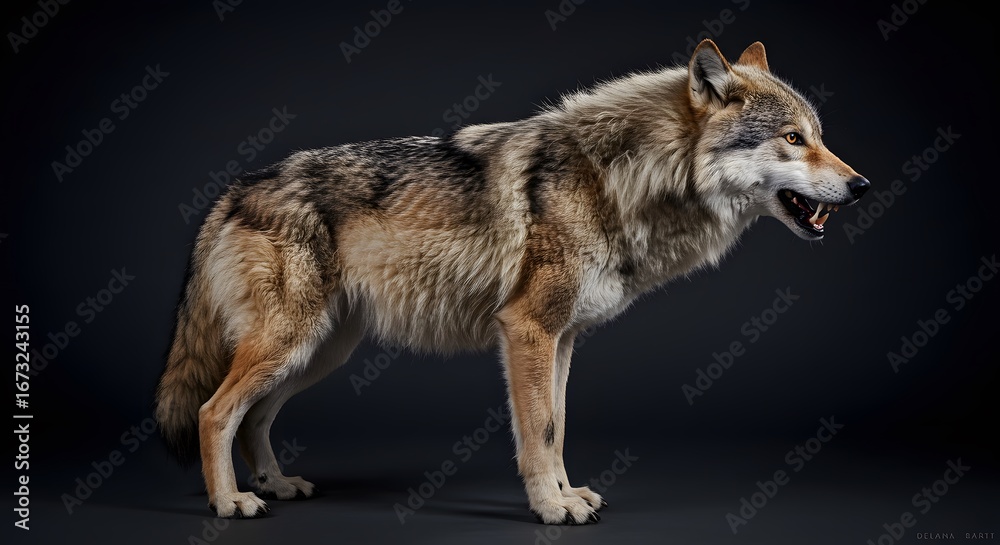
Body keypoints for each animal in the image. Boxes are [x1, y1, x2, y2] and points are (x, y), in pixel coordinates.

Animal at [155, 39, 869, 524]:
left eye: (819, 137)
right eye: (792, 138)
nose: (862, 185)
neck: (625, 177)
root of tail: (233, 190)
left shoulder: (562, 339)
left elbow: (557, 425)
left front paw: (567, 494)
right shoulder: (526, 330)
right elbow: (539, 432)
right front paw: (551, 510)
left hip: (318, 353)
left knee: (251, 417)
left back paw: (274, 486)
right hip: (292, 345)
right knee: (215, 412)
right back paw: (231, 502)